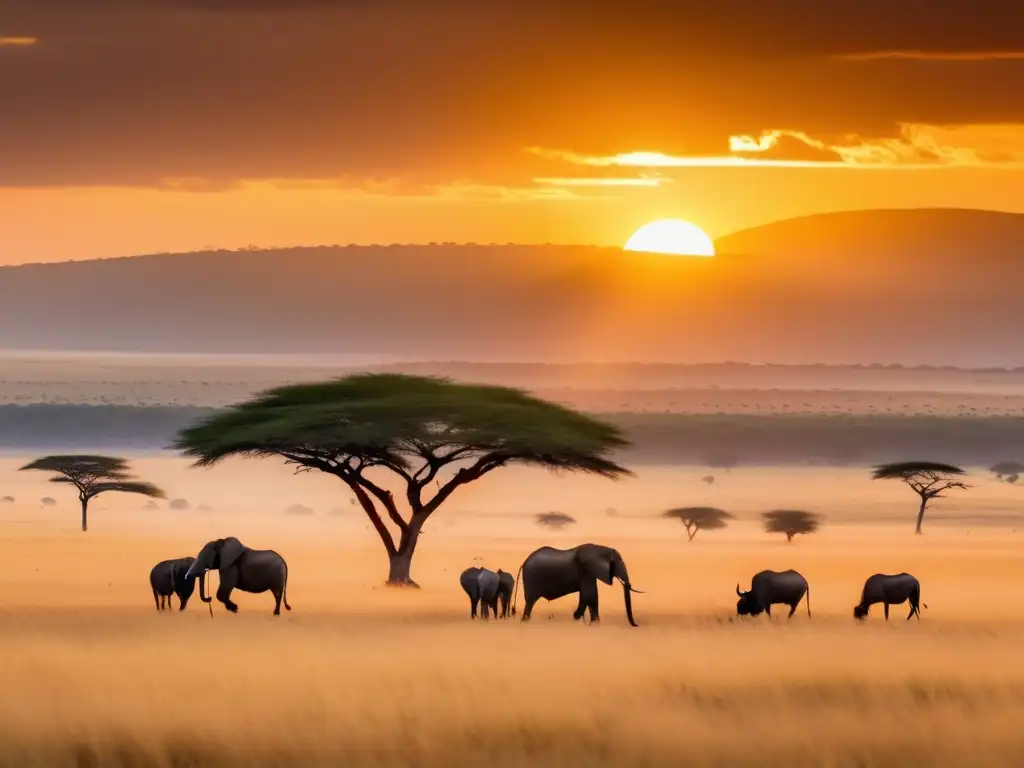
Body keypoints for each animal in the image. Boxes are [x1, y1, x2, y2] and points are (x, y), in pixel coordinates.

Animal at [509, 544, 638, 626]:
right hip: (531, 579)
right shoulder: (585, 570)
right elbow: (591, 595)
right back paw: (524, 622)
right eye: (617, 564)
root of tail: (523, 563)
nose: (636, 625)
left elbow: (586, 596)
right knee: (530, 602)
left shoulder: (588, 573)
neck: (602, 548)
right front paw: (594, 624)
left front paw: (578, 619)